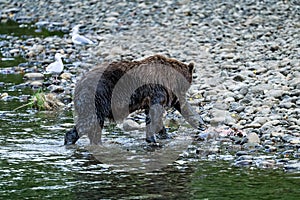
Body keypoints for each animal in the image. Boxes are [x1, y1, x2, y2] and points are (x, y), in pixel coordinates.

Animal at [64, 55, 206, 145]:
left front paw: (200, 124)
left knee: (96, 125)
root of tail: (79, 83)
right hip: (98, 96)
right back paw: (70, 139)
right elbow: (156, 114)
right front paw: (154, 140)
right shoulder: (158, 91)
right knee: (89, 121)